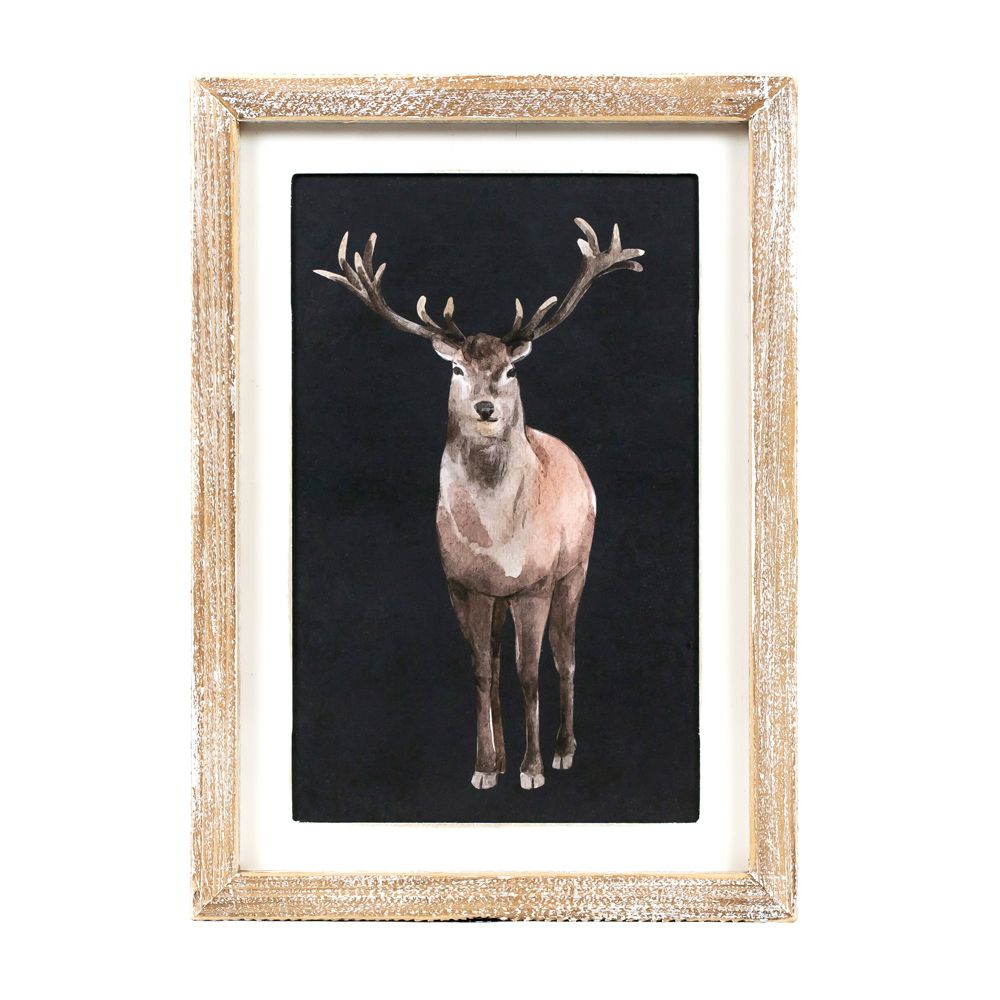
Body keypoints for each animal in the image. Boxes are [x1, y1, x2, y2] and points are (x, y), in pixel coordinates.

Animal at [315, 218, 645, 791]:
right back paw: (503, 754)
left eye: (509, 371)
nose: (486, 408)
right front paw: (486, 766)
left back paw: (563, 750)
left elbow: (529, 672)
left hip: (575, 568)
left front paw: (533, 770)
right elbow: (482, 671)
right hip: (500, 598)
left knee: (566, 655)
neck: (497, 543)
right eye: (457, 371)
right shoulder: (462, 583)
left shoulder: (535, 582)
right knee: (497, 656)